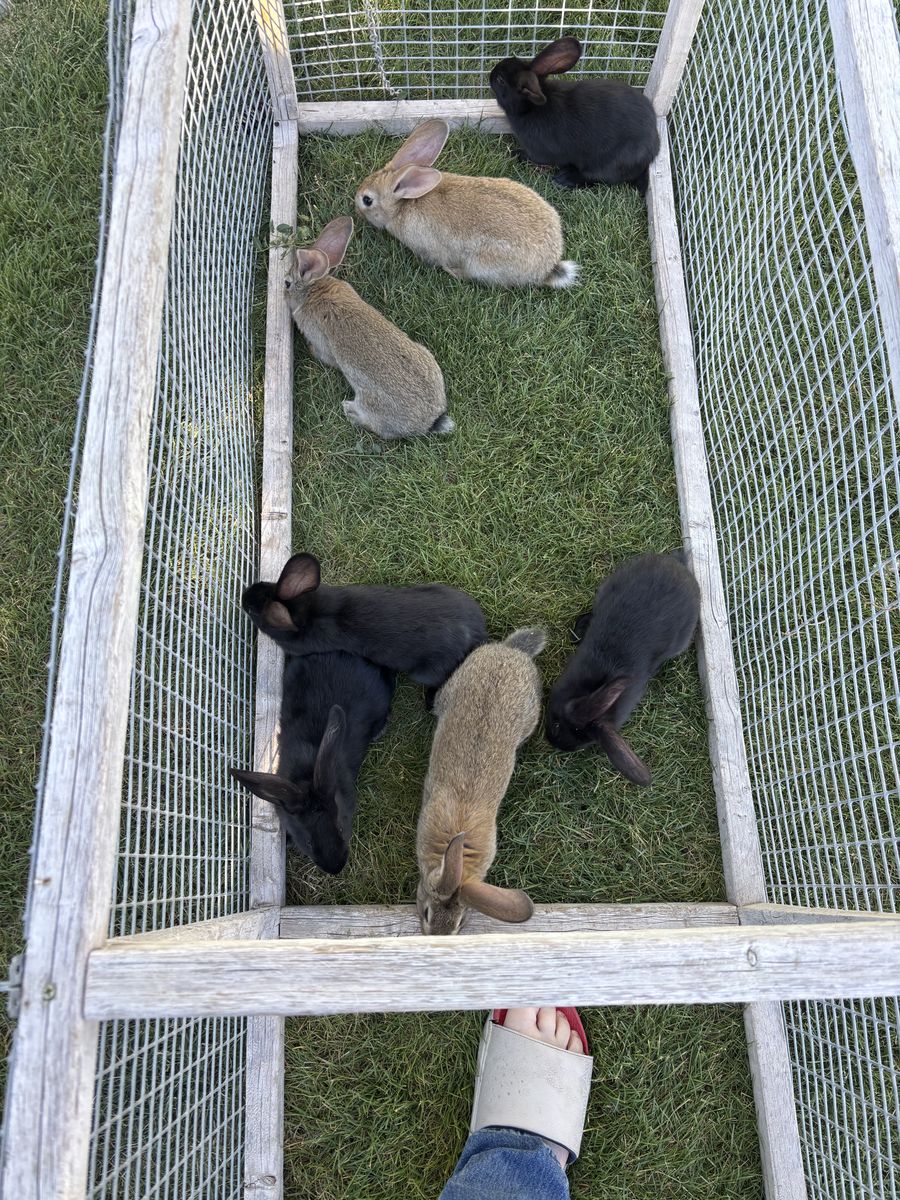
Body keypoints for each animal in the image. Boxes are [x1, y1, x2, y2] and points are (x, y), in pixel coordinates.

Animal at [242, 552, 488, 689]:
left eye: (252, 611)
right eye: (265, 584)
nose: (244, 595)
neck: (308, 613)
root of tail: (477, 633)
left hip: (426, 673)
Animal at [285, 216, 452, 438]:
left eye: (287, 283)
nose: (283, 292)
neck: (313, 290)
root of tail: (428, 422)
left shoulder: (320, 339)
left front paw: (310, 350)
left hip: (372, 406)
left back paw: (350, 411)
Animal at [355, 119, 579, 289]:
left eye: (367, 200)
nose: (356, 209)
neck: (402, 205)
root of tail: (547, 267)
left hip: (480, 265)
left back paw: (452, 271)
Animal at [489, 37, 660, 195]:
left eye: (500, 80)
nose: (491, 73)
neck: (531, 108)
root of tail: (653, 148)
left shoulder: (539, 152)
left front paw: (514, 153)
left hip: (609, 164)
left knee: (597, 178)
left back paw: (564, 178)